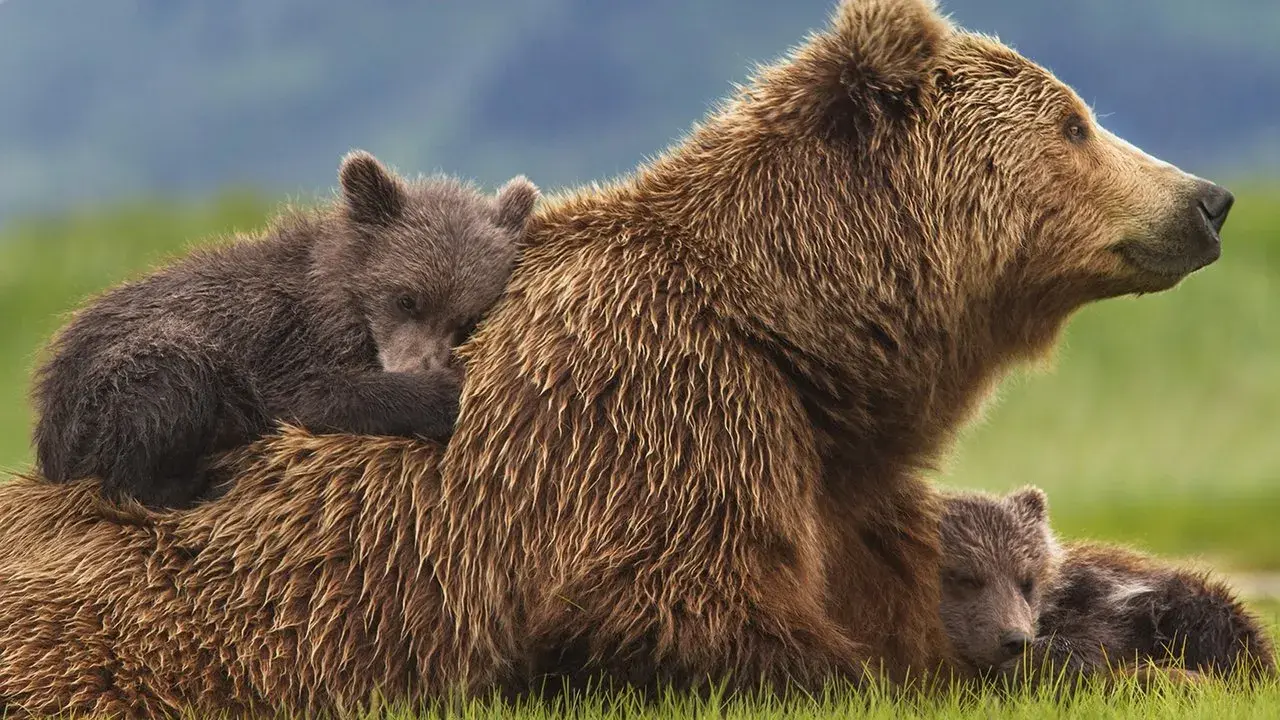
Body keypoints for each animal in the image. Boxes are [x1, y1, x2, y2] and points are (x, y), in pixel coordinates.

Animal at [30, 150, 539, 509]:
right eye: (407, 298)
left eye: (466, 319)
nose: (420, 365)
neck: (340, 298)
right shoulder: (284, 339)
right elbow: (314, 396)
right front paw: (443, 393)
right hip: (117, 382)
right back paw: (199, 480)